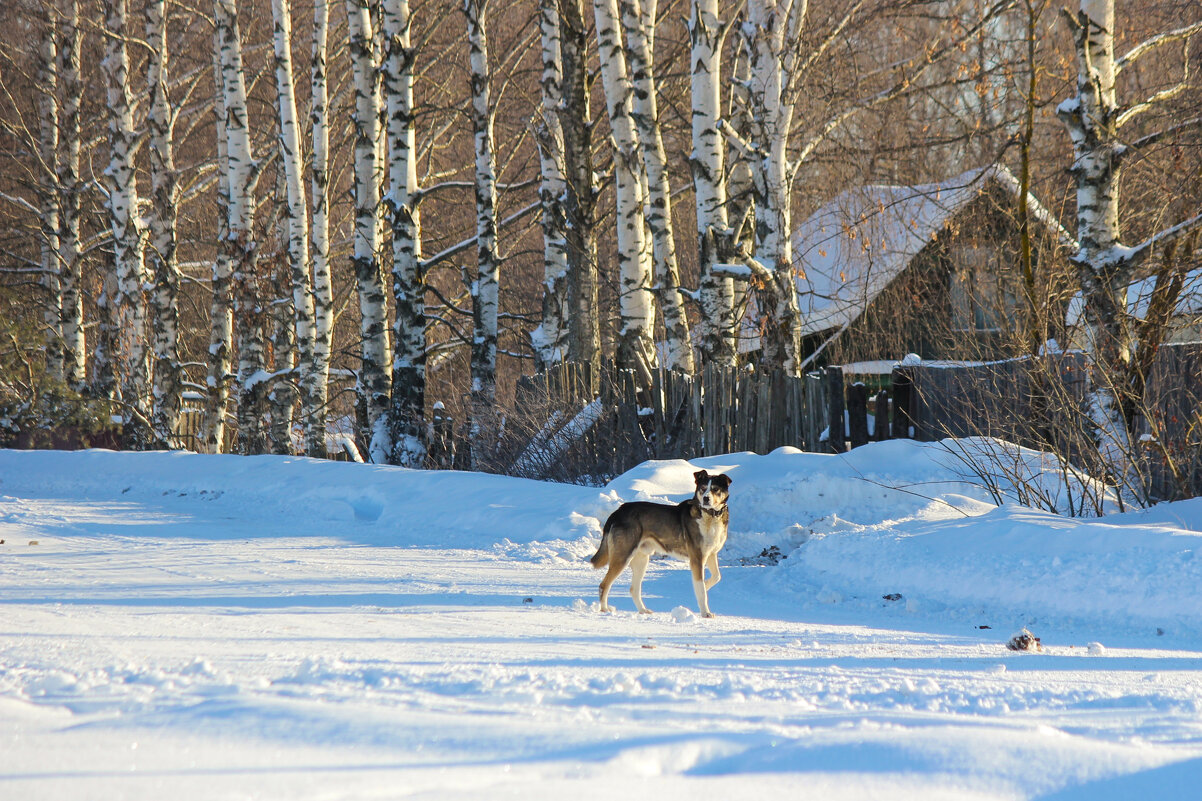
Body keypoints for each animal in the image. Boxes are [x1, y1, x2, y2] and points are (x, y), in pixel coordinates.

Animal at [586, 469, 726, 615]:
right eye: (703, 488)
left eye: (715, 489)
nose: (706, 498)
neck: (709, 516)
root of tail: (617, 512)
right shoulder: (697, 559)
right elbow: (702, 591)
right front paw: (706, 613)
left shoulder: (711, 554)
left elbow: (717, 576)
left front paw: (706, 585)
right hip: (623, 557)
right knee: (604, 585)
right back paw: (605, 609)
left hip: (641, 560)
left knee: (633, 589)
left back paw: (643, 610)